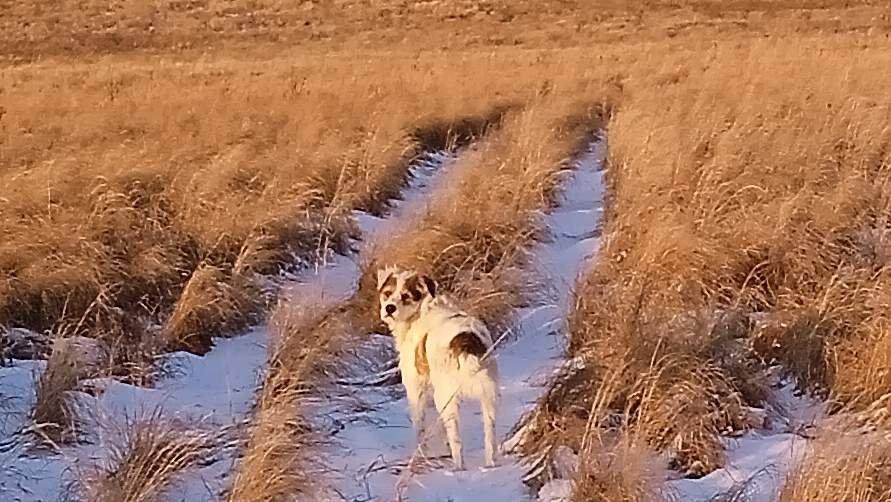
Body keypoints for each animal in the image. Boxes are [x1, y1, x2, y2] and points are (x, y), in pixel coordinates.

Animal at [378, 266, 502, 470]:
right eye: (387, 294)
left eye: (405, 296)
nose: (389, 308)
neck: (421, 311)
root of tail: (465, 341)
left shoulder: (416, 390)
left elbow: (419, 428)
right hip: (489, 396)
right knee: (490, 438)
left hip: (445, 398)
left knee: (456, 441)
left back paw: (457, 467)